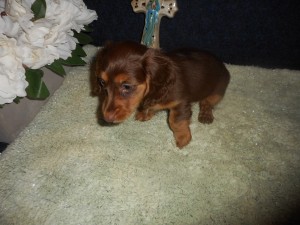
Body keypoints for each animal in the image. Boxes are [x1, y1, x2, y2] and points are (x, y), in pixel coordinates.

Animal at [92, 41, 231, 149]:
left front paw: (183, 138)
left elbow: (175, 121)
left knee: (207, 102)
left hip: (218, 90)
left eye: (127, 86)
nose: (107, 118)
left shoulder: (180, 102)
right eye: (102, 82)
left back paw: (206, 114)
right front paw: (145, 113)